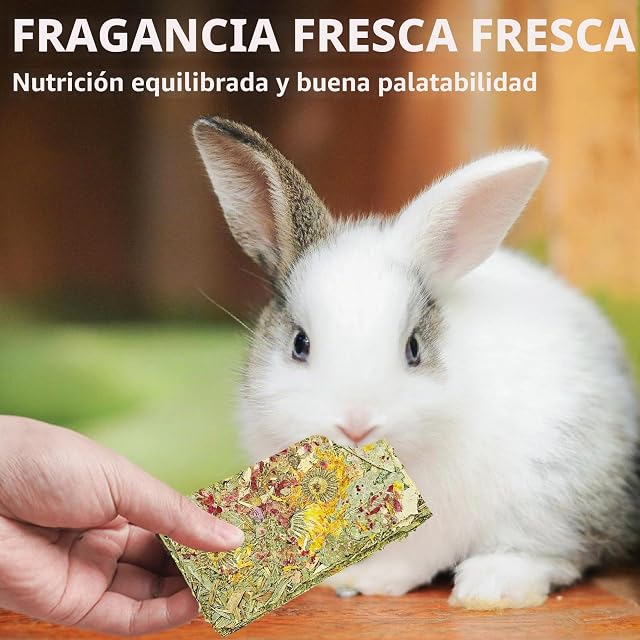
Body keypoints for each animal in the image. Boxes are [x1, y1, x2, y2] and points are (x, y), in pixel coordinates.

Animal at [192, 115, 640, 609]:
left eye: (413, 349)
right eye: (299, 343)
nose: (357, 425)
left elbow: (411, 556)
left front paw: (366, 579)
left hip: (554, 492)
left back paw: (490, 588)